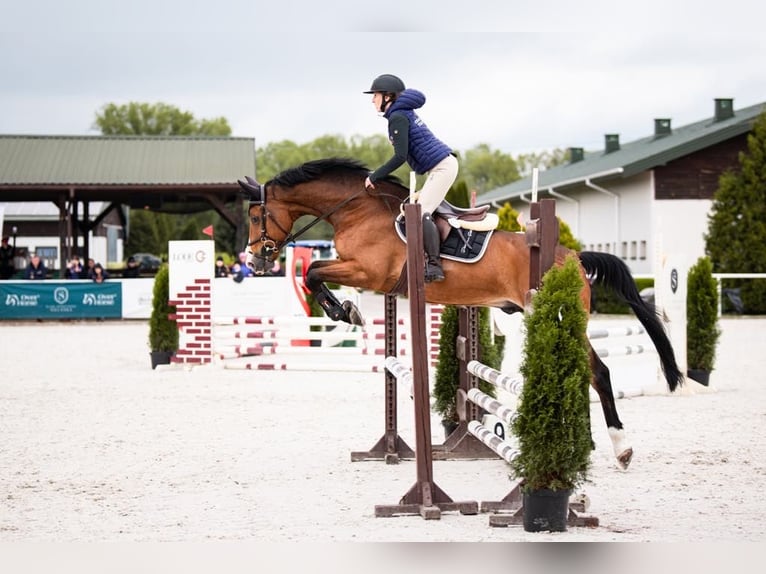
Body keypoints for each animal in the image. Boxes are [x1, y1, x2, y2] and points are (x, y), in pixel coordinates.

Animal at [240, 156, 684, 468]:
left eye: (257, 215)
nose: (256, 259)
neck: (357, 209)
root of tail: (573, 257)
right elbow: (314, 272)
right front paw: (345, 310)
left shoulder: (368, 272)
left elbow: (313, 272)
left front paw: (347, 312)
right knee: (581, 373)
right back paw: (583, 444)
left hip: (559, 316)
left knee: (599, 373)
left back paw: (621, 449)